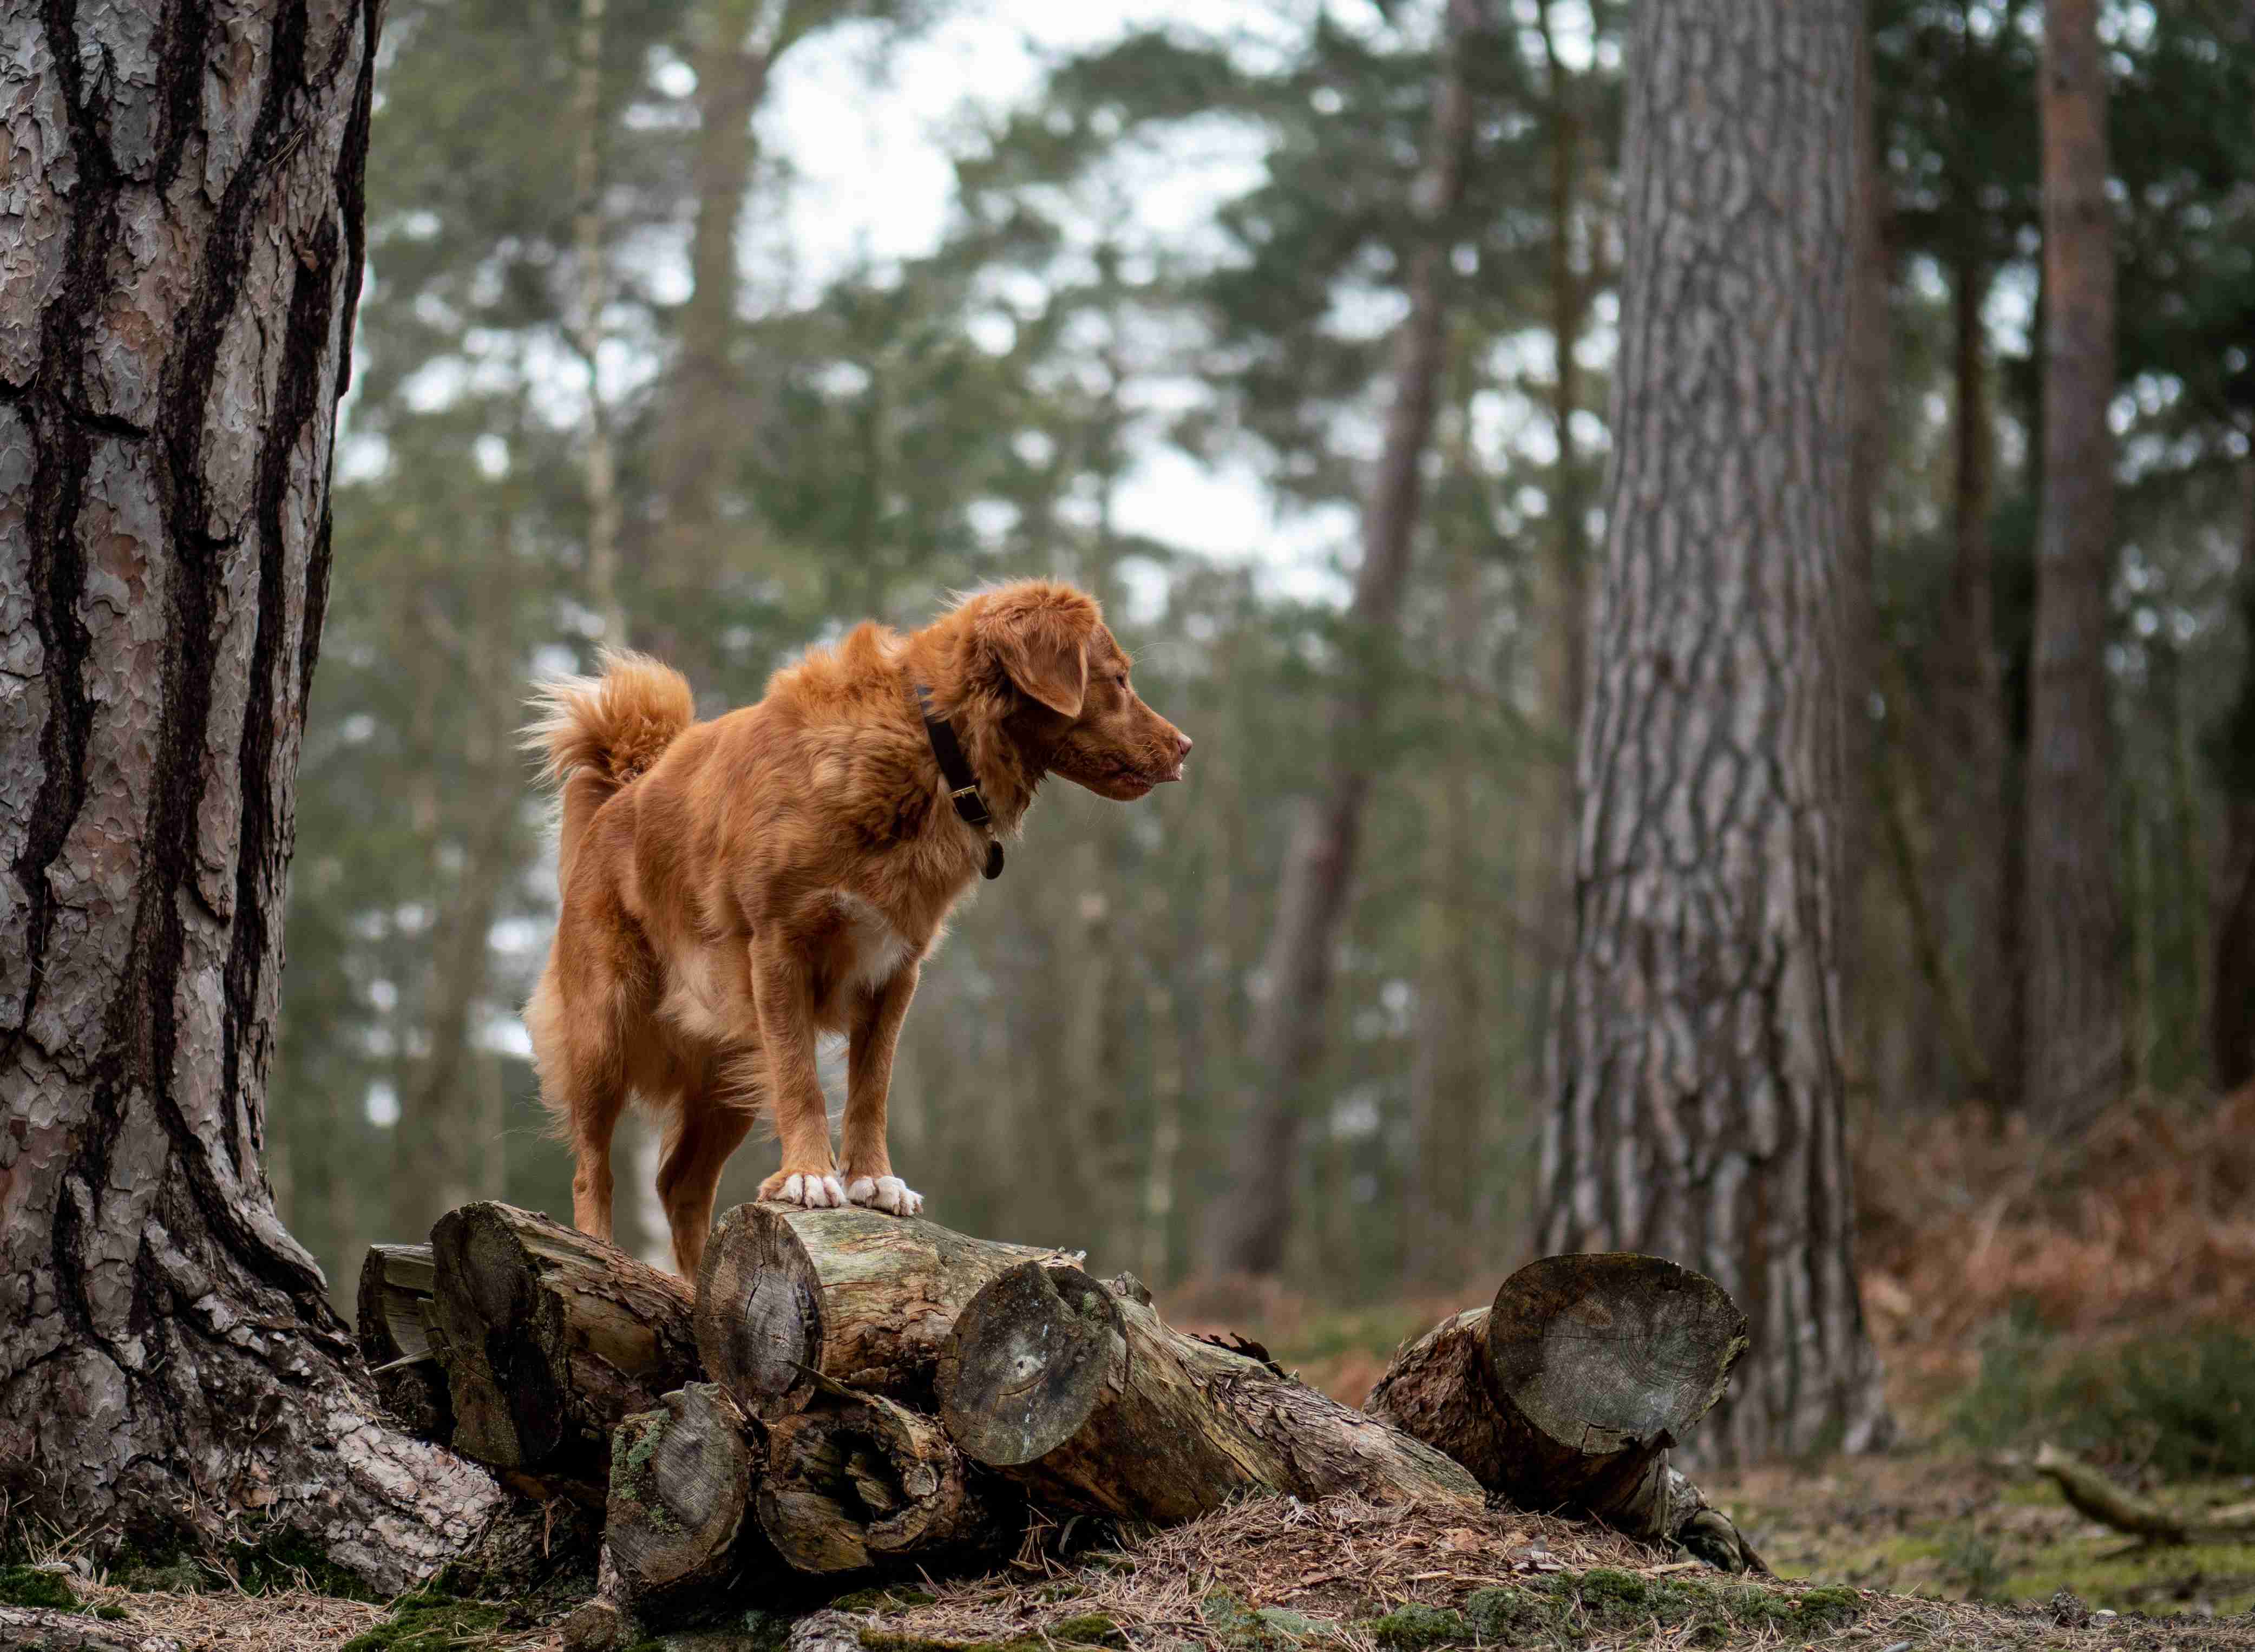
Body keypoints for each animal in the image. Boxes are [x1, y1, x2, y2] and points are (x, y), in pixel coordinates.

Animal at [525, 581, 1190, 1280]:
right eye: (1117, 679)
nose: (1186, 747)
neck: (931, 745)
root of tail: (620, 794)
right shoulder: (779, 950)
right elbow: (802, 1080)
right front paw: (808, 1176)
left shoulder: (894, 967)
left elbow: (872, 1087)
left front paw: (872, 1180)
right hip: (604, 1031)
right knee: (592, 1169)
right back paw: (596, 1252)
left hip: (727, 1069)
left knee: (680, 1183)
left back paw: (693, 1284)